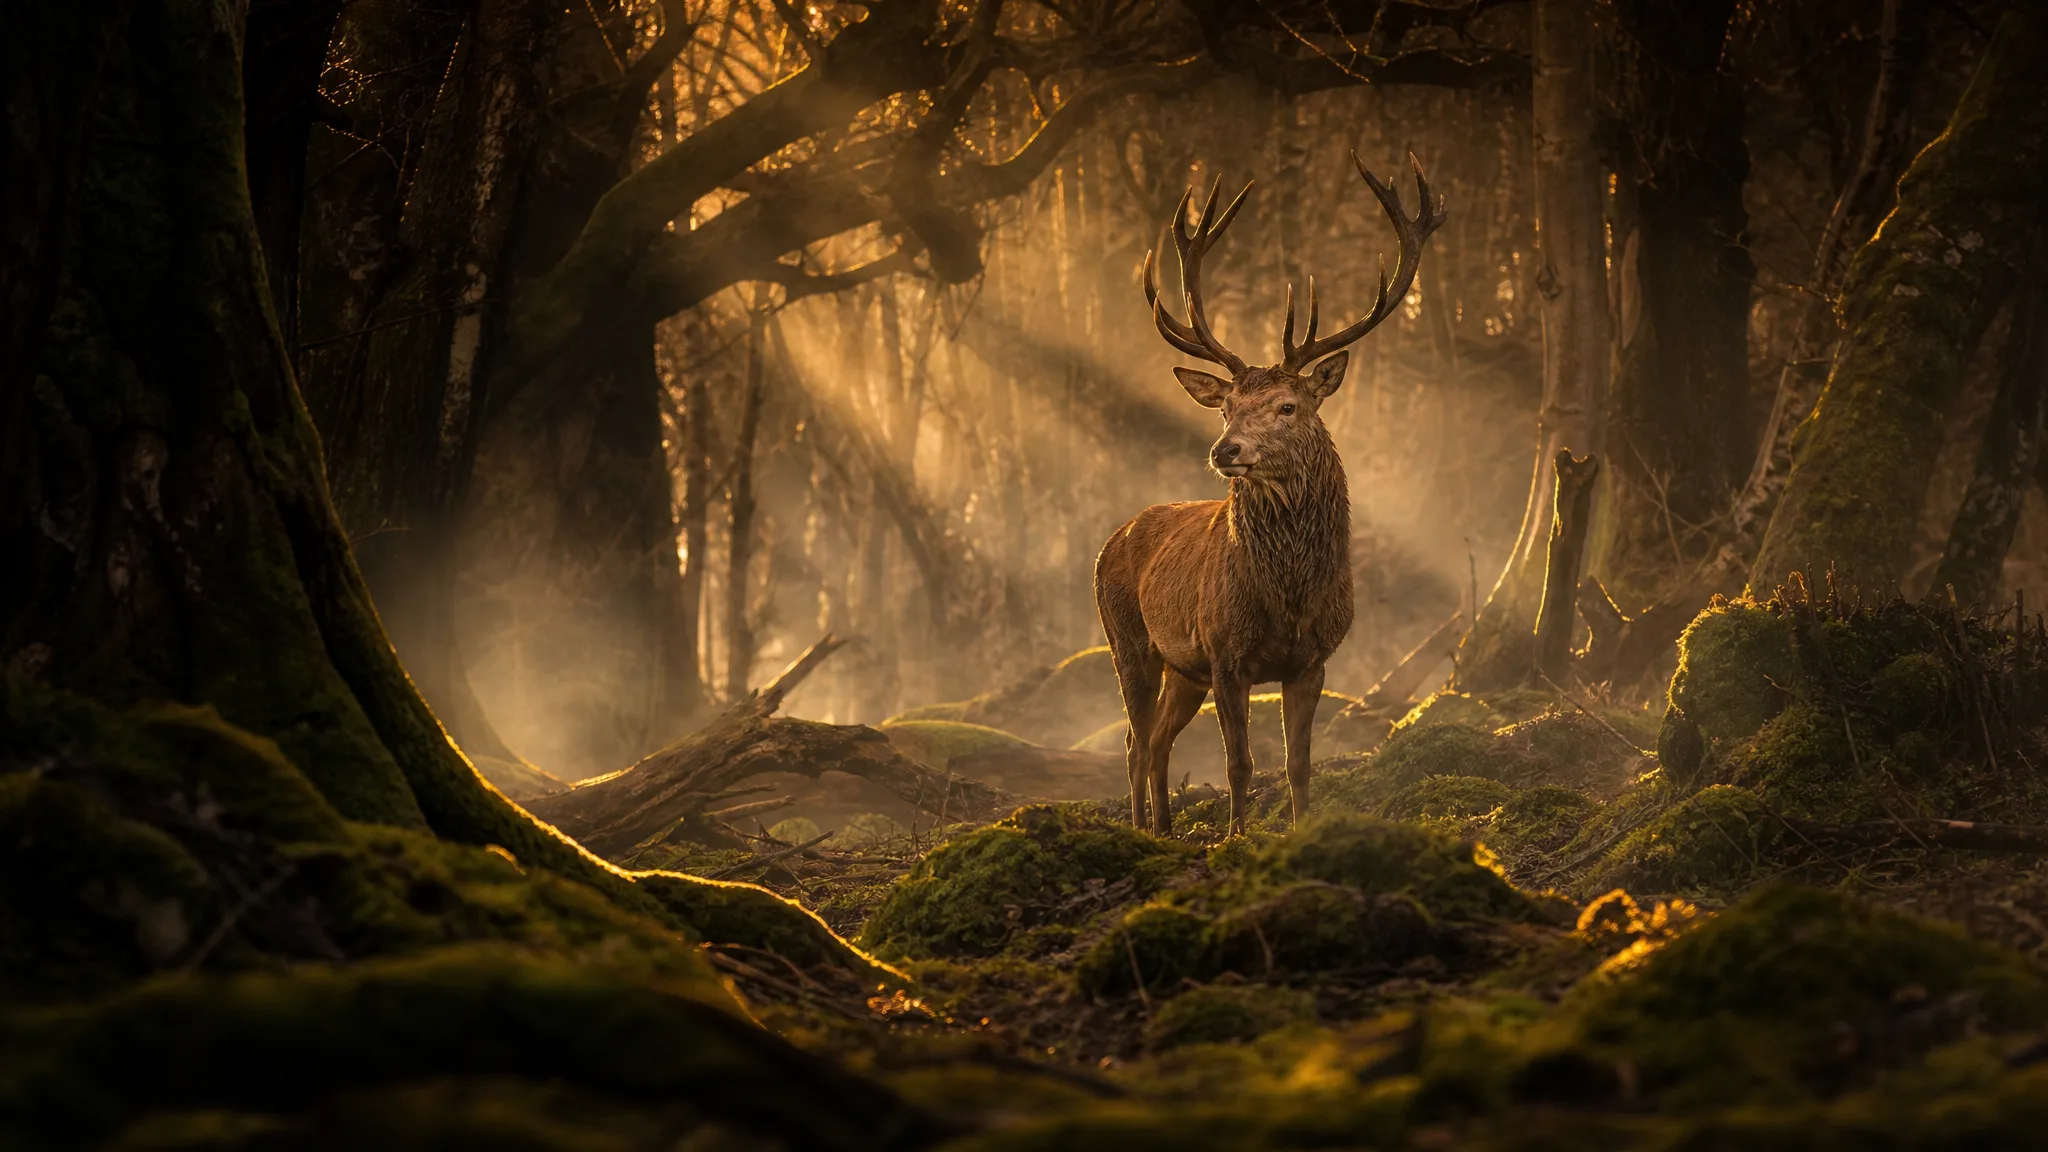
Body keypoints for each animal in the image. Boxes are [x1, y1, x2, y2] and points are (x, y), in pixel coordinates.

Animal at [1094, 153, 1446, 837]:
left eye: (1288, 405)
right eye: (1226, 406)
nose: (1225, 451)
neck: (1287, 596)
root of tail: (1112, 539)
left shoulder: (1313, 658)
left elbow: (1298, 763)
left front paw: (1302, 831)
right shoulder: (1226, 653)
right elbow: (1241, 763)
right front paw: (1236, 835)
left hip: (1183, 668)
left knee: (1157, 739)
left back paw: (1167, 827)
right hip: (1127, 638)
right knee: (1133, 739)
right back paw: (1141, 827)